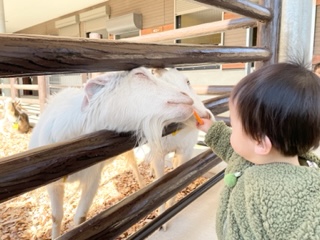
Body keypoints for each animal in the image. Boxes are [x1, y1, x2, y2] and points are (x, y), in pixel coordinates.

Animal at [29, 66, 195, 239]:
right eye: (139, 74)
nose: (188, 99)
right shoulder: (53, 184)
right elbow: (56, 217)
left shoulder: (93, 178)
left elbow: (80, 218)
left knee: (133, 164)